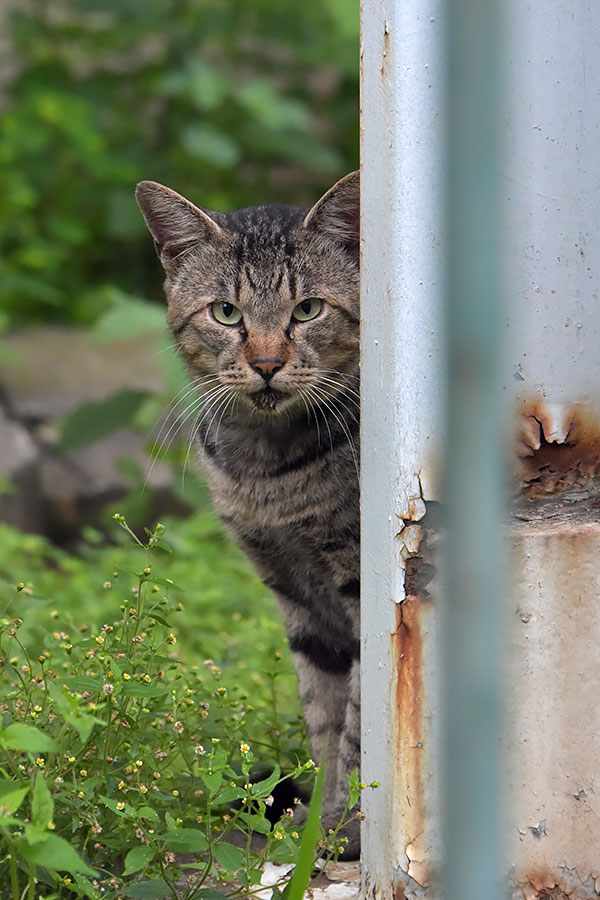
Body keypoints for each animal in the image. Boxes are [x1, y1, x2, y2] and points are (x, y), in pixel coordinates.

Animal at [136, 171, 360, 856]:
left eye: (307, 310)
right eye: (226, 313)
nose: (265, 363)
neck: (267, 476)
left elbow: (360, 720)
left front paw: (351, 827)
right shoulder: (296, 593)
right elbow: (325, 717)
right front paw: (321, 823)